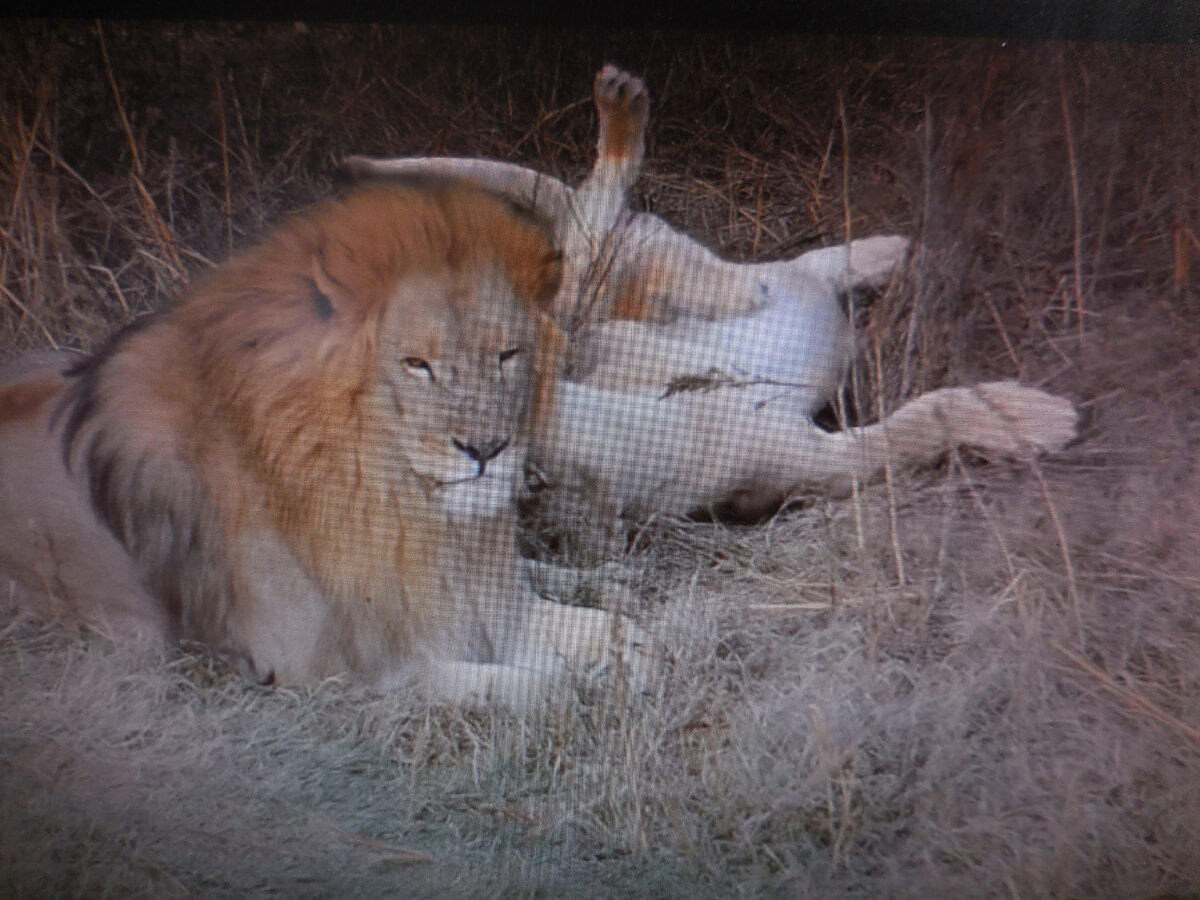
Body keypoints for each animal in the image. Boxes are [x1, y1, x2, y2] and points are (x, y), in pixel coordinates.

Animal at [0, 177, 652, 710]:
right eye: (417, 364)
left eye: (507, 356)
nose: (488, 451)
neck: (398, 498)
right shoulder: (319, 666)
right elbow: (529, 685)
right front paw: (590, 684)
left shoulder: (468, 593)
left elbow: (589, 624)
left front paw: (635, 646)